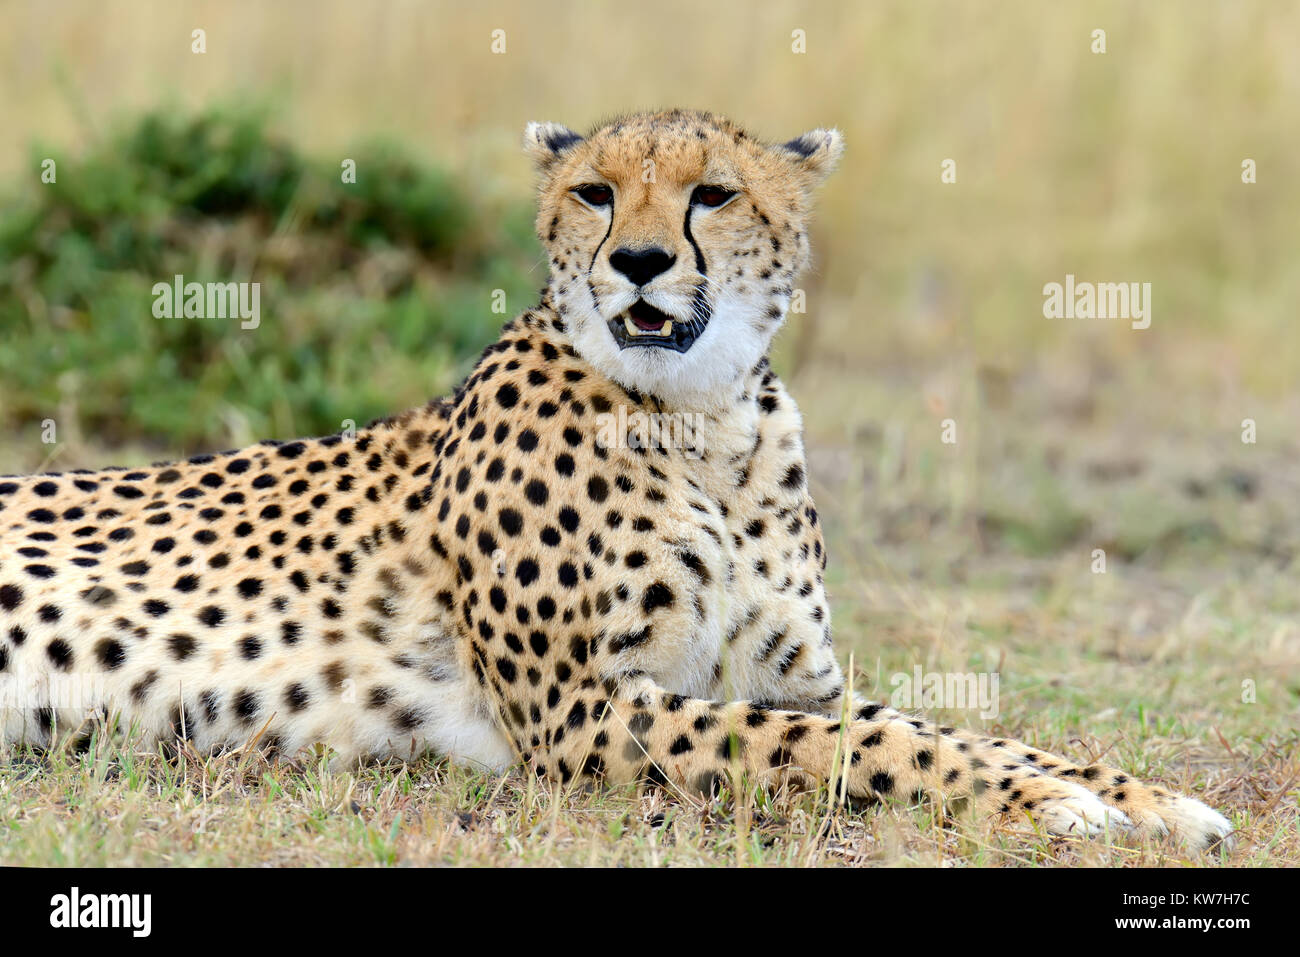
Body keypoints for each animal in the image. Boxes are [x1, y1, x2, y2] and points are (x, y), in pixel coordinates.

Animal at [0, 113, 1227, 852]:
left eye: (714, 194)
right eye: (594, 192)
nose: (639, 261)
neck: (705, 423)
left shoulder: (785, 678)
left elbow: (953, 728)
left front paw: (1141, 797)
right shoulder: (584, 712)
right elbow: (869, 748)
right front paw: (1059, 803)